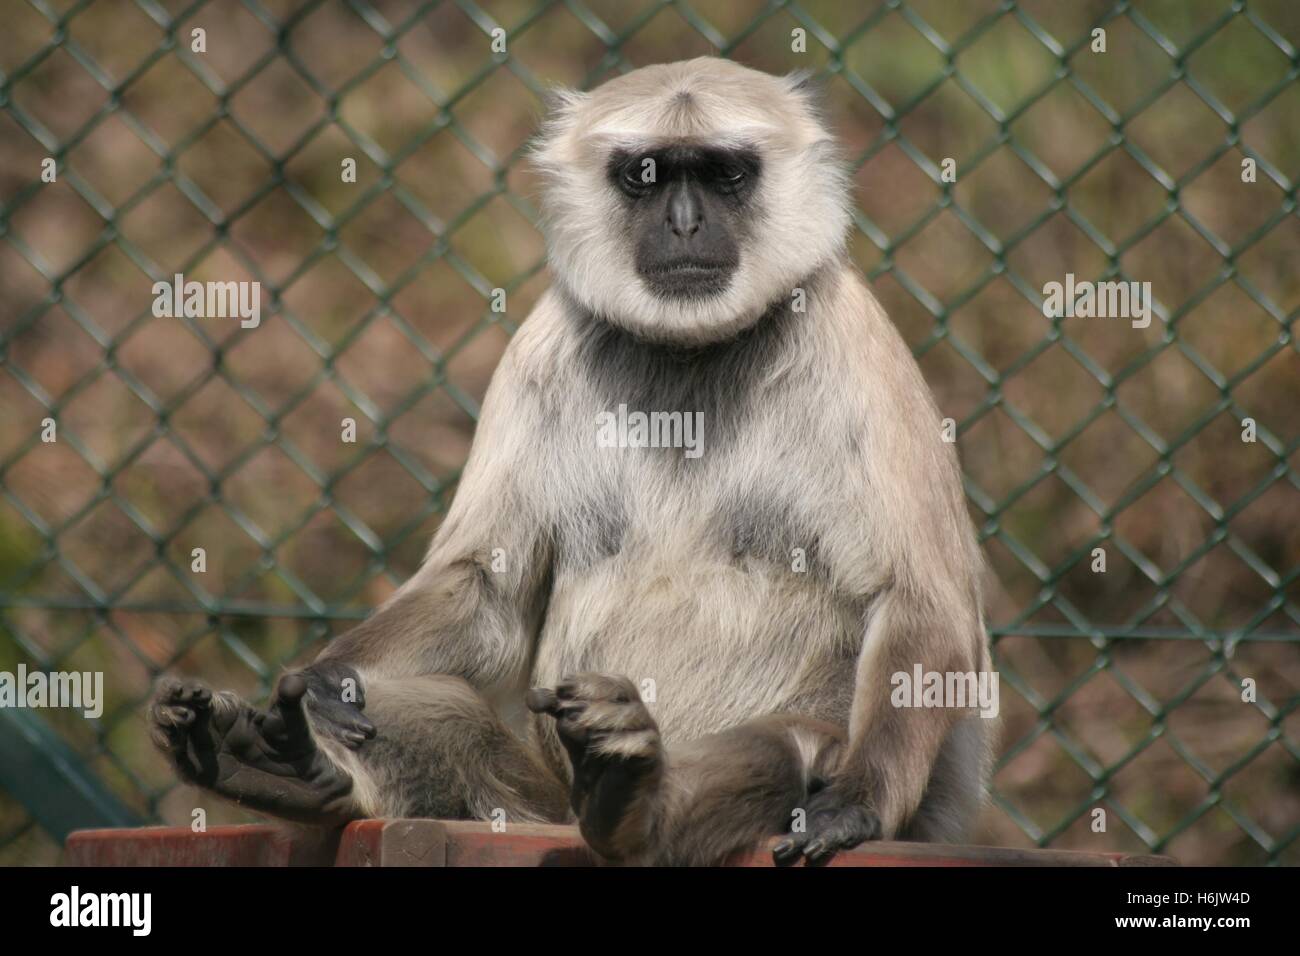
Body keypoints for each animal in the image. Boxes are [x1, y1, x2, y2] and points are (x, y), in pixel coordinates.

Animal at [154, 57, 1003, 868]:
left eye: (725, 173)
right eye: (645, 176)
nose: (685, 222)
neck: (691, 355)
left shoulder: (853, 339)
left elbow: (921, 604)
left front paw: (856, 803)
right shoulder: (544, 340)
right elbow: (486, 590)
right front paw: (317, 686)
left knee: (785, 748)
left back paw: (633, 802)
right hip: (536, 803)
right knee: (452, 714)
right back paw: (288, 773)